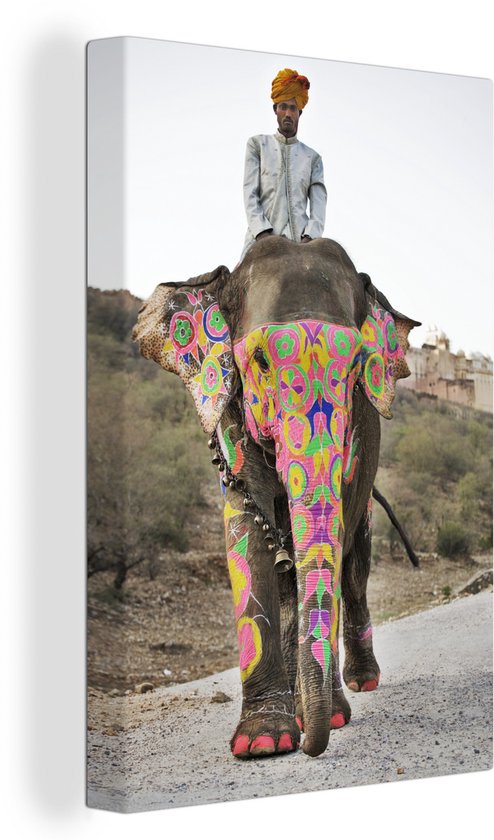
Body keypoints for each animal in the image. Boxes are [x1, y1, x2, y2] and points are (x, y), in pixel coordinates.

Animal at [132, 236, 420, 759]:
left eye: (355, 367)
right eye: (262, 362)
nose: (311, 744)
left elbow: (335, 534)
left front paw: (328, 717)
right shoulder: (229, 417)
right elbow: (246, 533)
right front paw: (263, 743)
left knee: (356, 565)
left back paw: (359, 684)